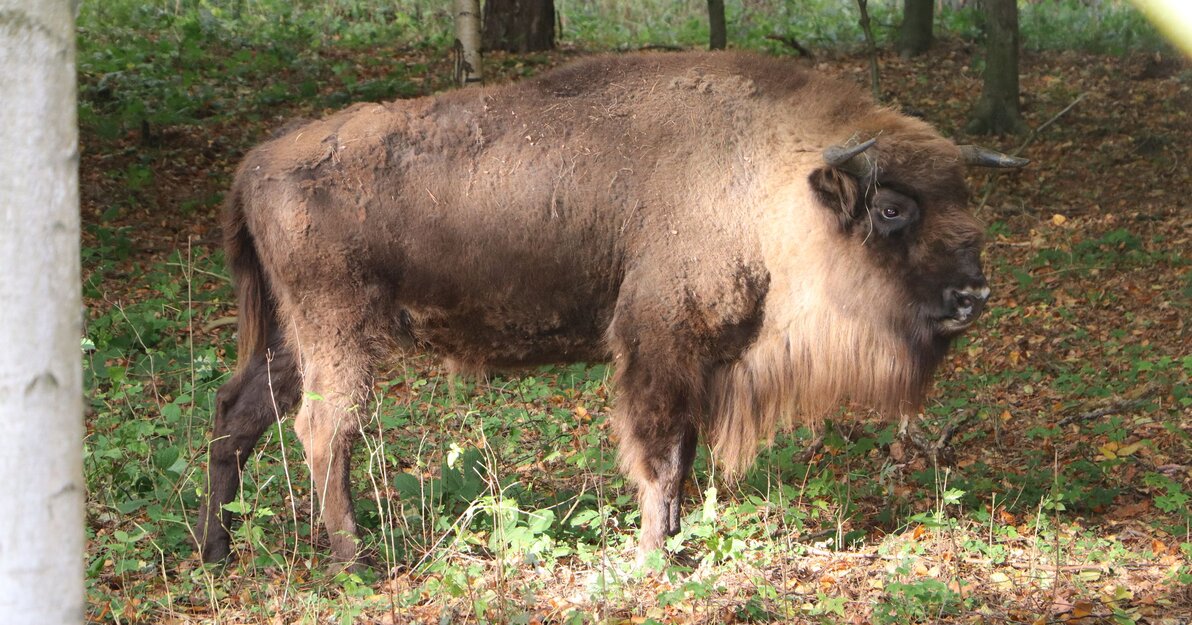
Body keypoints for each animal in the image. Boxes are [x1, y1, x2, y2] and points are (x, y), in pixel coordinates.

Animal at [195, 50, 1025, 565]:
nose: (974, 294)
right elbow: (658, 453)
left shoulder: (697, 359)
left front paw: (674, 541)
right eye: (891, 208)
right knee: (324, 431)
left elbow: (682, 452)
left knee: (239, 414)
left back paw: (215, 549)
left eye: (966, 200)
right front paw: (655, 553)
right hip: (338, 334)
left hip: (292, 339)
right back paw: (357, 557)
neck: (778, 178)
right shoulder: (658, 346)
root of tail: (255, 162)